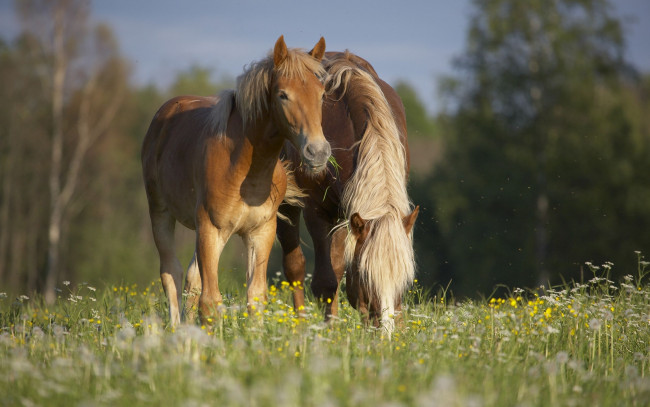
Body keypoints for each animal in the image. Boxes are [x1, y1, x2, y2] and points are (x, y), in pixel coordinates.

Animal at [141, 36, 330, 326]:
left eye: (322, 94)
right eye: (283, 95)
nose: (318, 152)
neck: (244, 170)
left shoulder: (260, 232)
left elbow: (255, 297)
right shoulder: (211, 229)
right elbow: (210, 302)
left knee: (191, 278)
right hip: (162, 213)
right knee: (170, 273)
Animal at [276, 51, 418, 334]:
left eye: (405, 280)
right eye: (366, 276)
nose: (385, 334)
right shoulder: (317, 212)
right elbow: (325, 282)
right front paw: (329, 334)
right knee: (295, 267)